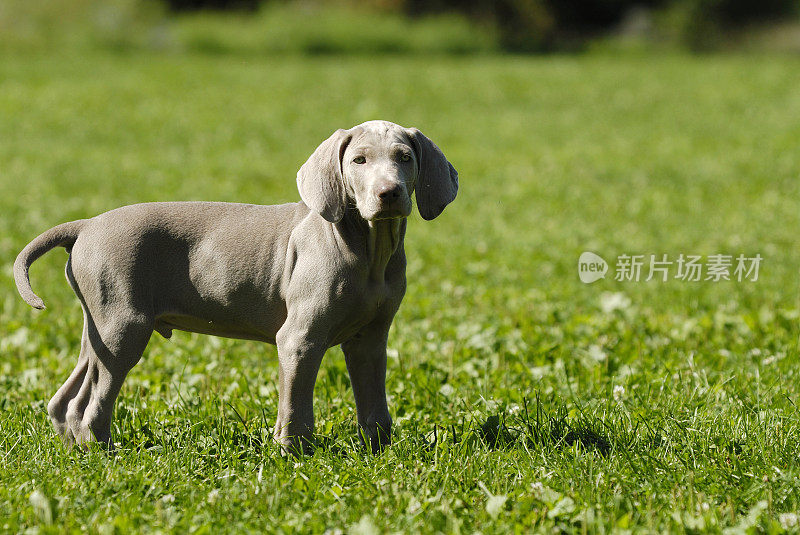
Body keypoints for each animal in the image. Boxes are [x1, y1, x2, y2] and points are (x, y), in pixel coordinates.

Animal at [14, 119, 456, 454]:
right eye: (359, 160)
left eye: (405, 158)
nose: (389, 194)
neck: (369, 251)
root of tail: (86, 224)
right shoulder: (299, 339)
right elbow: (296, 405)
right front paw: (294, 455)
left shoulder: (370, 339)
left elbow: (374, 405)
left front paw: (380, 455)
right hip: (124, 327)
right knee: (91, 407)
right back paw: (107, 455)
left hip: (100, 326)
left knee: (65, 401)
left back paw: (77, 453)